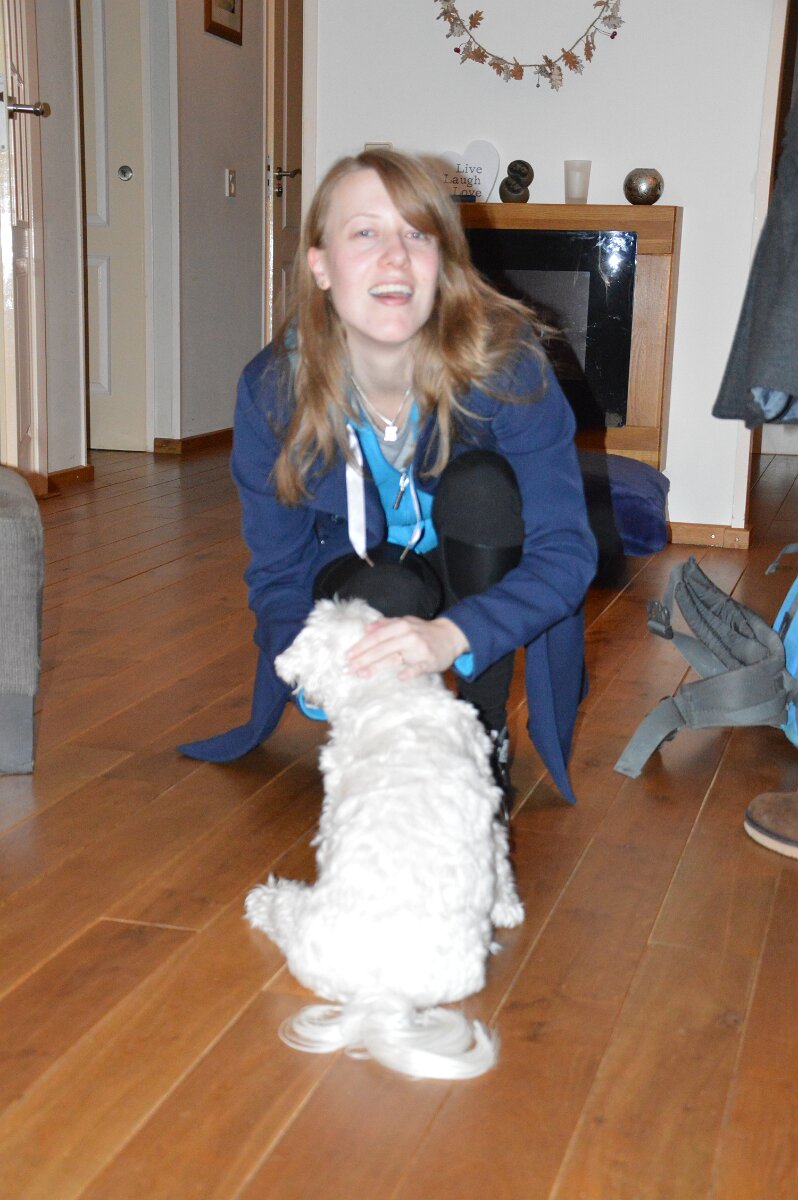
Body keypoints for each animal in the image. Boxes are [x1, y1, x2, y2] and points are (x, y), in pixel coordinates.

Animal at [245, 597, 524, 1079]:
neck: (391, 692)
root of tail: (383, 996)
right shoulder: (489, 809)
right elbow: (503, 865)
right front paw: (508, 908)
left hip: (303, 923)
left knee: (282, 911)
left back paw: (265, 900)